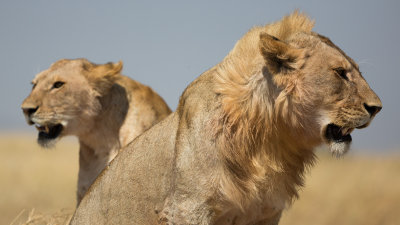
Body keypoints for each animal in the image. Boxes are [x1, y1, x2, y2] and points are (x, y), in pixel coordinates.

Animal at [69, 12, 382, 225]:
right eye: (340, 73)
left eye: (357, 71)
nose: (377, 108)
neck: (268, 139)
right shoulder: (187, 207)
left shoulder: (265, 212)